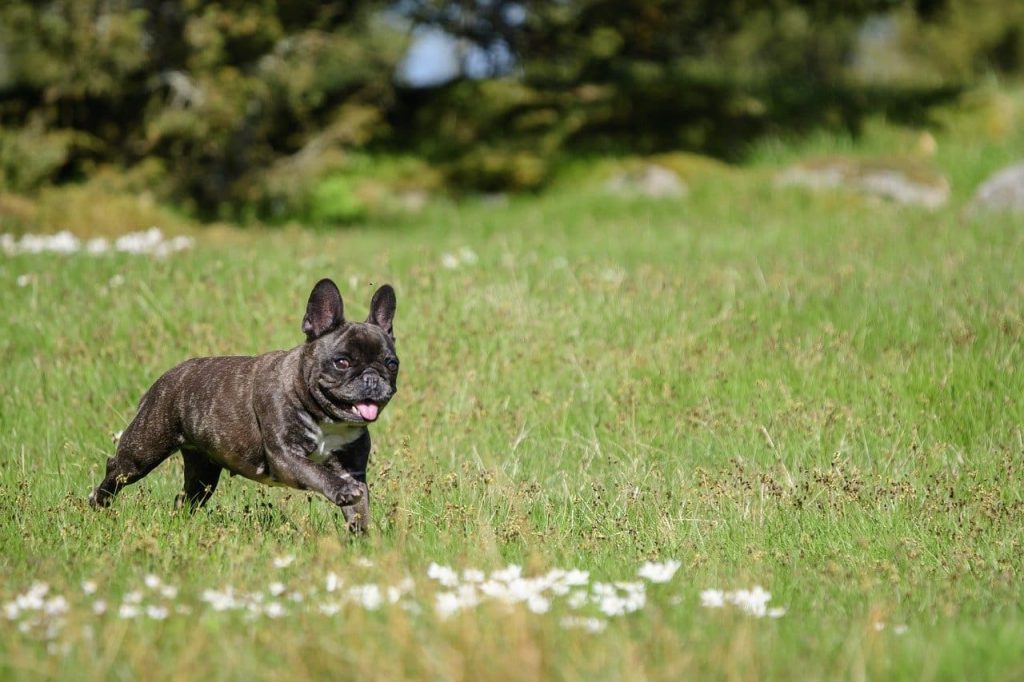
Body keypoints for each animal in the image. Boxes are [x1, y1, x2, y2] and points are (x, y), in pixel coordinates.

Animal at [87, 278, 395, 532]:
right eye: (342, 362)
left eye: (391, 364)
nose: (372, 377)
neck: (327, 419)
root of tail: (167, 376)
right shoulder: (287, 458)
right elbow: (317, 472)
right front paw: (342, 491)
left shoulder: (353, 470)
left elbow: (359, 511)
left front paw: (363, 541)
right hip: (144, 449)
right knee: (117, 468)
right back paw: (98, 502)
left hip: (203, 473)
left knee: (186, 498)